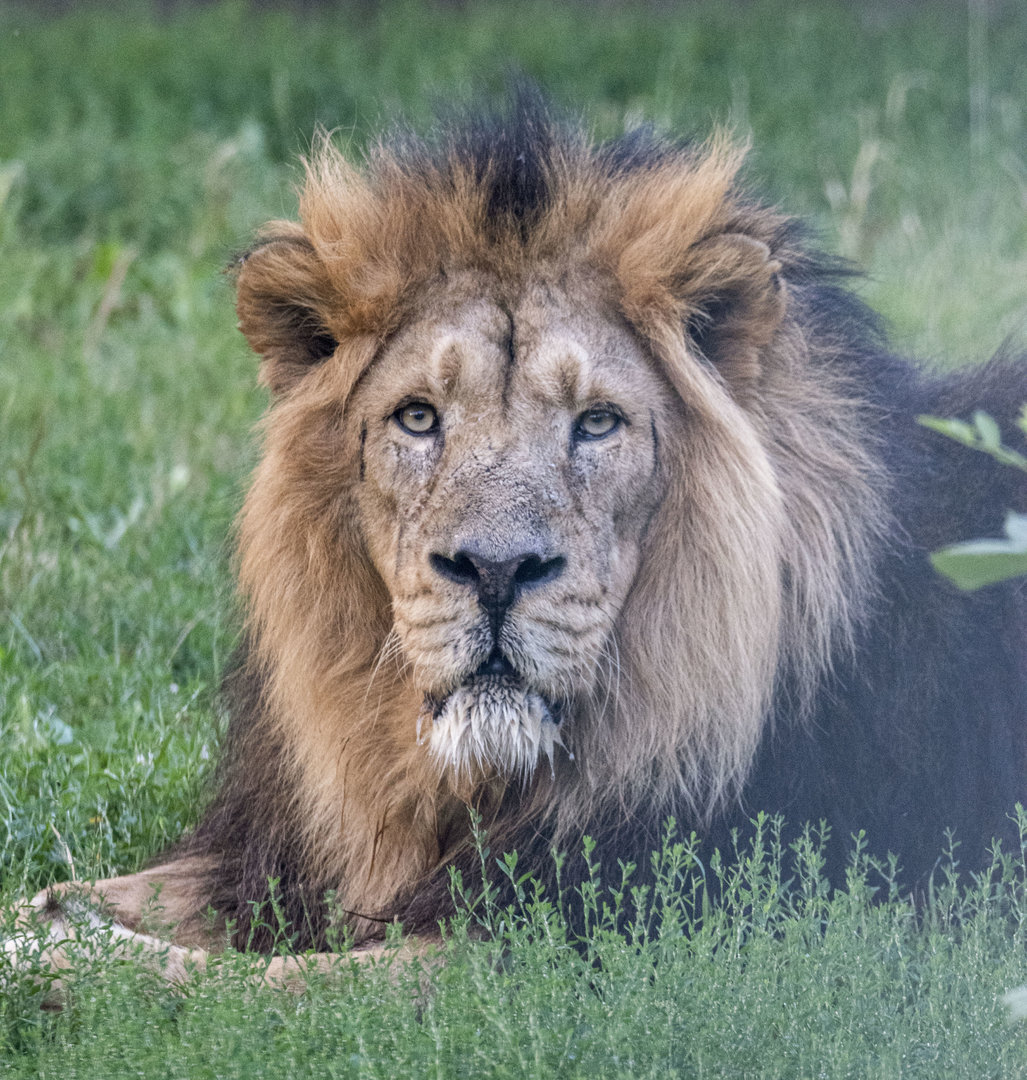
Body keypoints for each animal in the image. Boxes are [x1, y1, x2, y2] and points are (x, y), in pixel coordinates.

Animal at [13, 95, 1027, 983]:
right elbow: (87, 894)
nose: (495, 571)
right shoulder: (273, 861)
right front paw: (46, 921)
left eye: (597, 423)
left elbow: (250, 986)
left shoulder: (587, 944)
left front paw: (54, 964)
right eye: (418, 417)